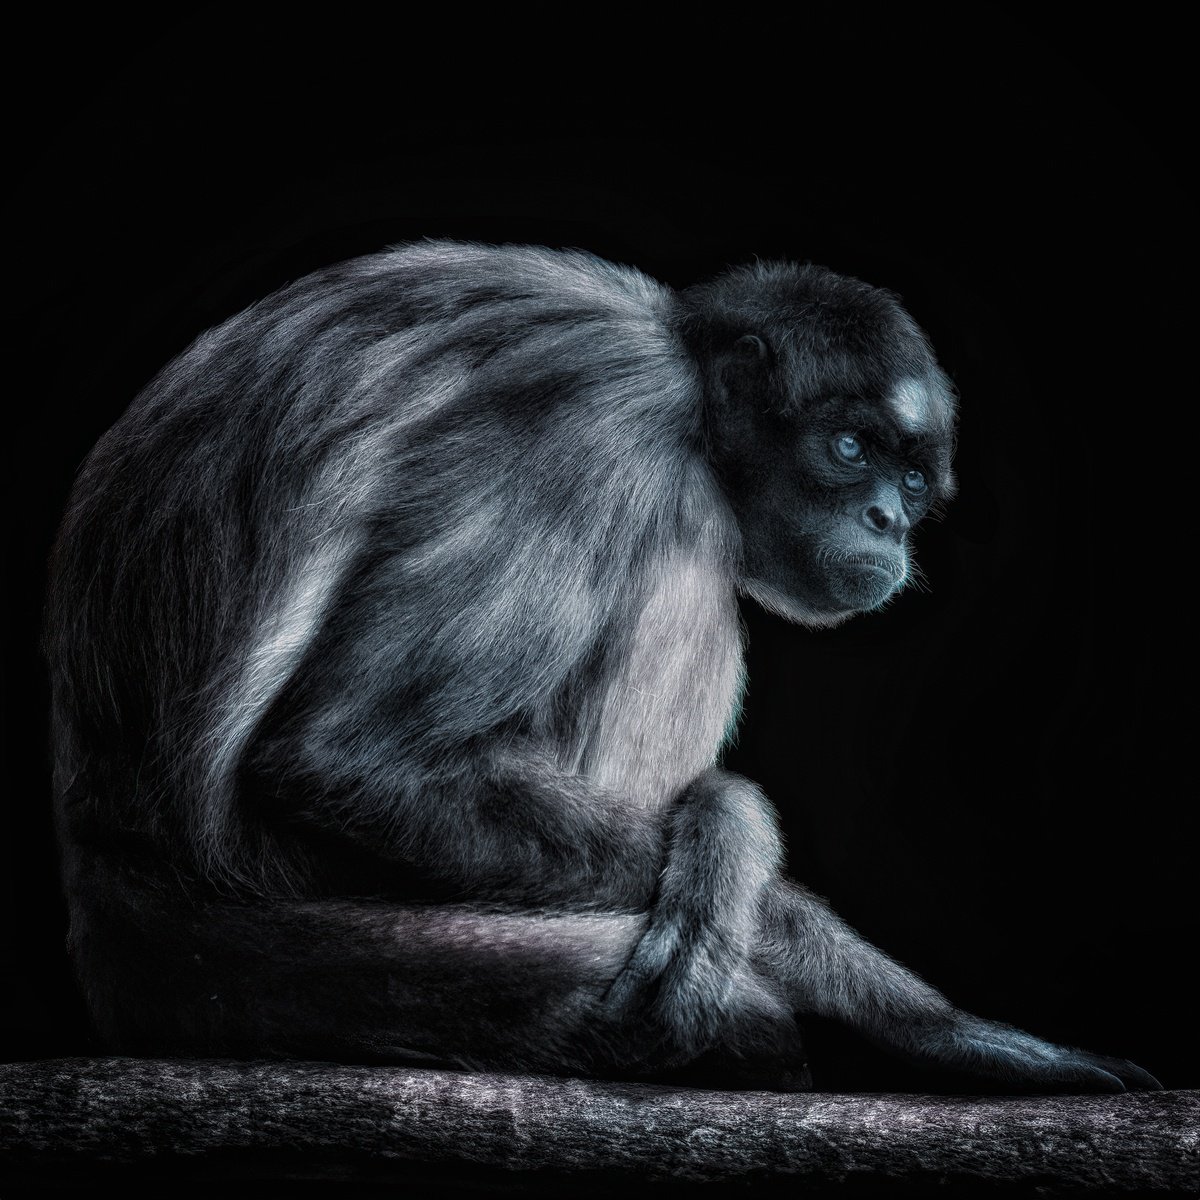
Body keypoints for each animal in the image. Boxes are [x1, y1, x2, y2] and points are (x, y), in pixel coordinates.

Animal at [44, 241, 1159, 1093]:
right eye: (851, 449)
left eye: (913, 481)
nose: (888, 518)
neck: (674, 350)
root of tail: (112, 857)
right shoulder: (606, 422)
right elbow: (343, 756)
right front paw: (896, 998)